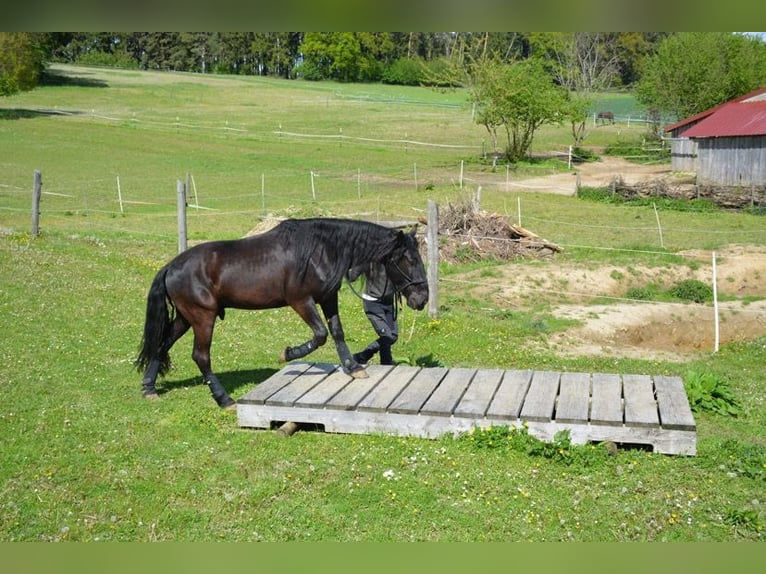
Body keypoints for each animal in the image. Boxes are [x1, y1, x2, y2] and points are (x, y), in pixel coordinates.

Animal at [135, 217, 428, 410]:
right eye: (408, 260)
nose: (422, 299)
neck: (321, 250)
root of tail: (171, 266)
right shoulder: (301, 301)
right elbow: (320, 334)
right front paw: (288, 354)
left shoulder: (327, 298)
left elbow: (336, 332)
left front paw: (353, 367)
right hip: (202, 318)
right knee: (201, 356)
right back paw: (224, 399)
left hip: (186, 318)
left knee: (162, 343)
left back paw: (149, 388)